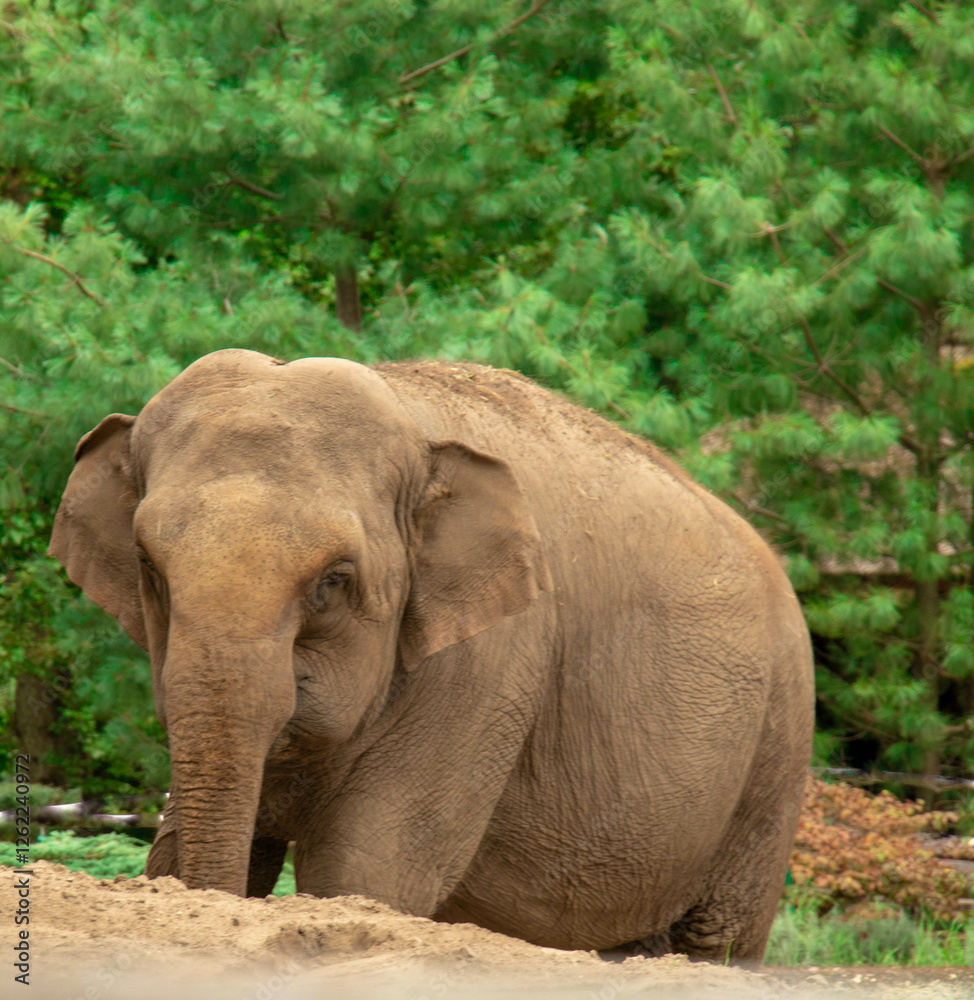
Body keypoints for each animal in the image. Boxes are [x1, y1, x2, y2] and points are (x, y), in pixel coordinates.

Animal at [50, 348, 813, 962]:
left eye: (333, 581)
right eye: (148, 566)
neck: (410, 418)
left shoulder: (491, 661)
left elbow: (365, 872)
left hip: (777, 752)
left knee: (720, 938)